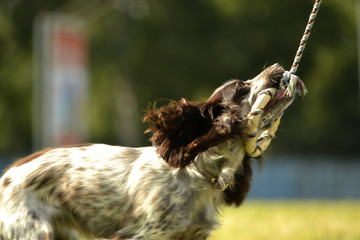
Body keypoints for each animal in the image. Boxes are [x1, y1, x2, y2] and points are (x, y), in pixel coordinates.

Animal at [0, 62, 306, 239]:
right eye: (241, 87)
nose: (278, 66)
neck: (199, 171)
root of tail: (7, 174)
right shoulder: (144, 234)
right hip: (34, 231)